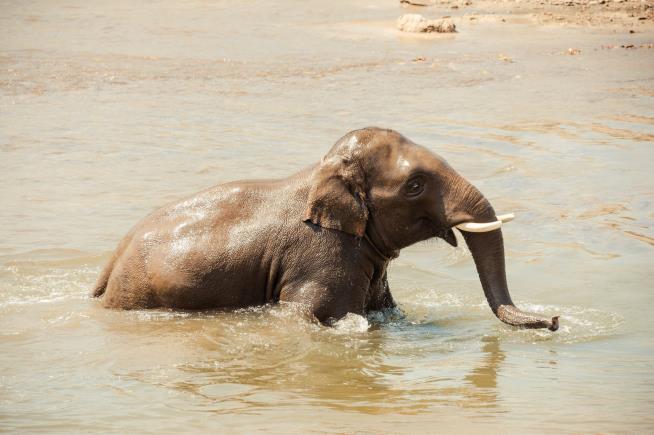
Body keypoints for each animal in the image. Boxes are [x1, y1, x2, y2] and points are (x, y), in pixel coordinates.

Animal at [92, 127, 560, 332]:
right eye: (414, 185)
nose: (555, 319)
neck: (322, 171)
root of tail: (111, 263)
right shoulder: (322, 256)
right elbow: (315, 314)